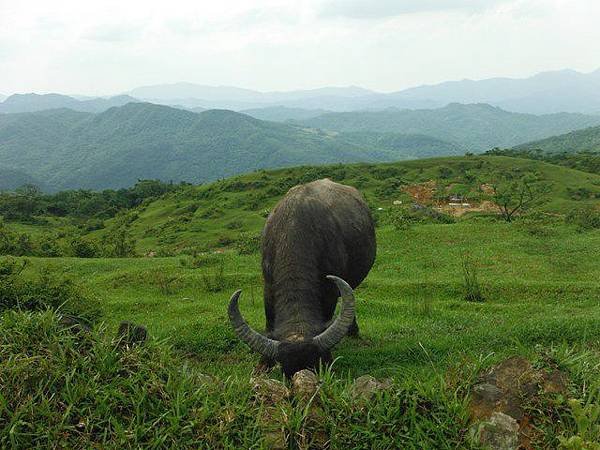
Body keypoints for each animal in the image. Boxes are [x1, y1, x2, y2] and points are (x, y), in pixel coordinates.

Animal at [230, 178, 376, 378]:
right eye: (285, 373)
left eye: (313, 366)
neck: (295, 229)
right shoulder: (268, 286)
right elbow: (269, 323)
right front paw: (263, 365)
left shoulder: (330, 292)